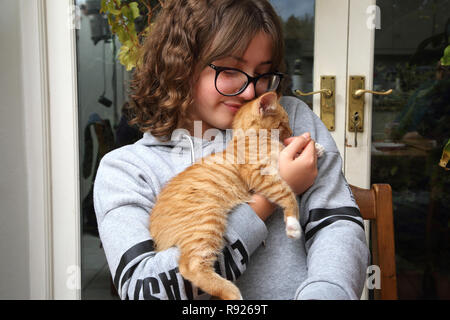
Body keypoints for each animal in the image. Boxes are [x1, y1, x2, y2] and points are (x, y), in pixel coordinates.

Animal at [151, 90, 324, 300]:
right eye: (283, 123)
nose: (291, 133)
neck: (250, 138)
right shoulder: (260, 174)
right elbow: (287, 194)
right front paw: (292, 225)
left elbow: (285, 149)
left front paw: (315, 147)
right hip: (206, 222)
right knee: (190, 266)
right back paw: (232, 293)